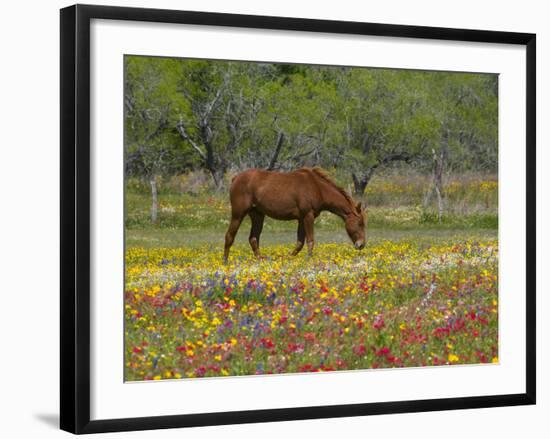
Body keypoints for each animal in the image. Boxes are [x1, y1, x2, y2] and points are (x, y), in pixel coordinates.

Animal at [224, 168, 366, 264]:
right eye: (360, 223)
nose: (361, 245)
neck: (317, 187)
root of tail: (235, 178)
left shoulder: (301, 219)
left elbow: (299, 243)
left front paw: (289, 258)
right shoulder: (308, 216)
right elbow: (310, 240)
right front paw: (308, 260)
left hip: (257, 215)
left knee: (253, 238)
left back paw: (261, 260)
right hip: (238, 214)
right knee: (230, 236)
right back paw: (225, 262)